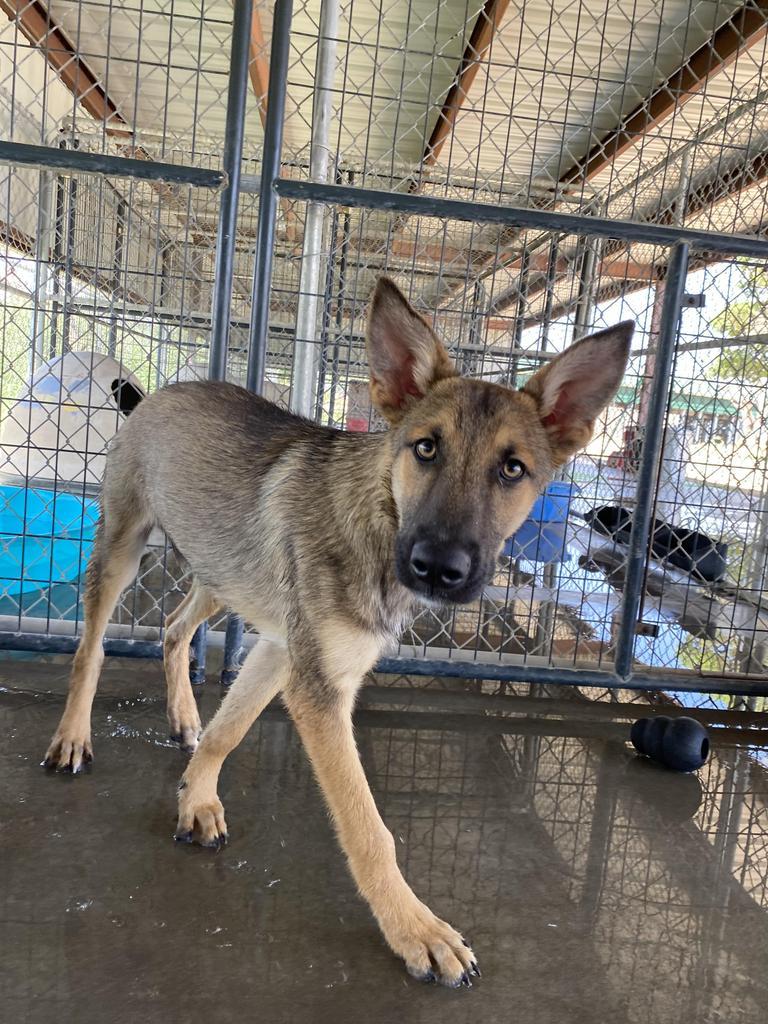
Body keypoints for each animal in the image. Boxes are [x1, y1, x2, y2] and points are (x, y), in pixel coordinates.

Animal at [45, 278, 630, 983]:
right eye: (426, 447)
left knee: (173, 630)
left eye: (512, 469)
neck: (379, 515)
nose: (439, 568)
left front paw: (196, 796)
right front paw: (414, 929)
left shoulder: (284, 652)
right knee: (90, 648)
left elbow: (230, 728)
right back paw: (73, 736)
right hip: (125, 548)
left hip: (224, 574)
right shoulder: (319, 689)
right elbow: (368, 826)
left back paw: (183, 714)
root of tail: (161, 391)